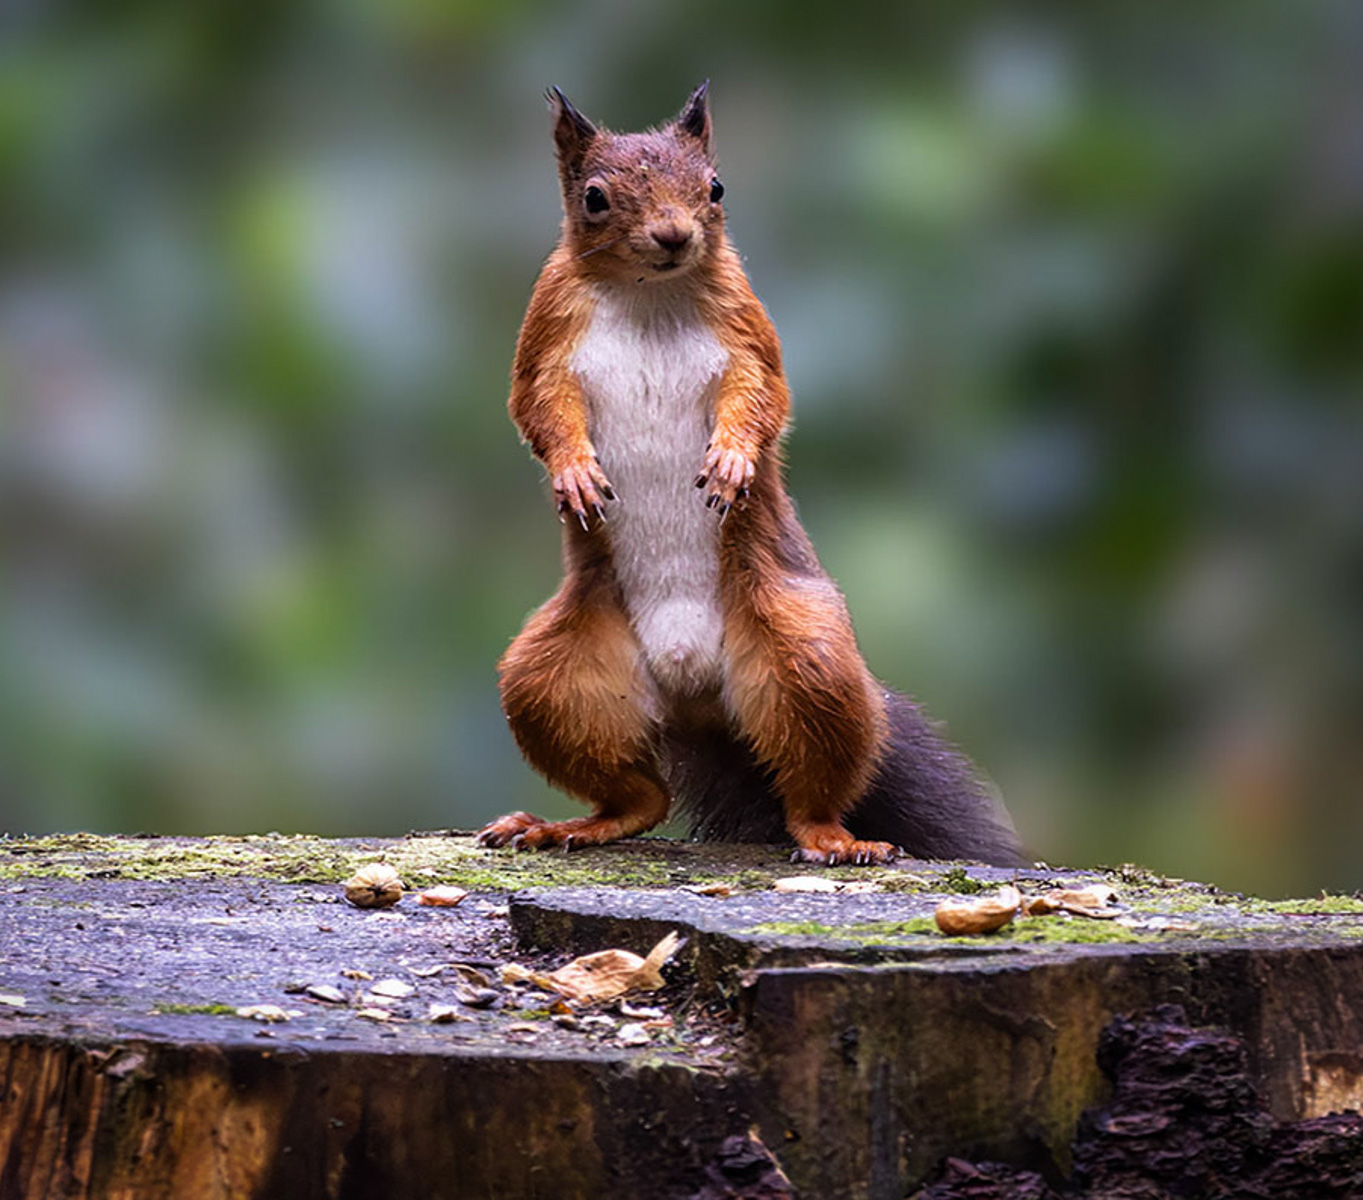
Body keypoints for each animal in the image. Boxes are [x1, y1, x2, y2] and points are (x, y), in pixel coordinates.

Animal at [477, 83, 1023, 867]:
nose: (674, 236)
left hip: (807, 659)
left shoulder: (745, 327)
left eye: (715, 187)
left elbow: (760, 397)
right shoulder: (548, 327)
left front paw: (733, 460)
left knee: (808, 791)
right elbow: (539, 408)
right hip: (552, 681)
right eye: (594, 198)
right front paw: (574, 472)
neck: (649, 292)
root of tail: (693, 697)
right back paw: (570, 825)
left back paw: (835, 837)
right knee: (639, 798)